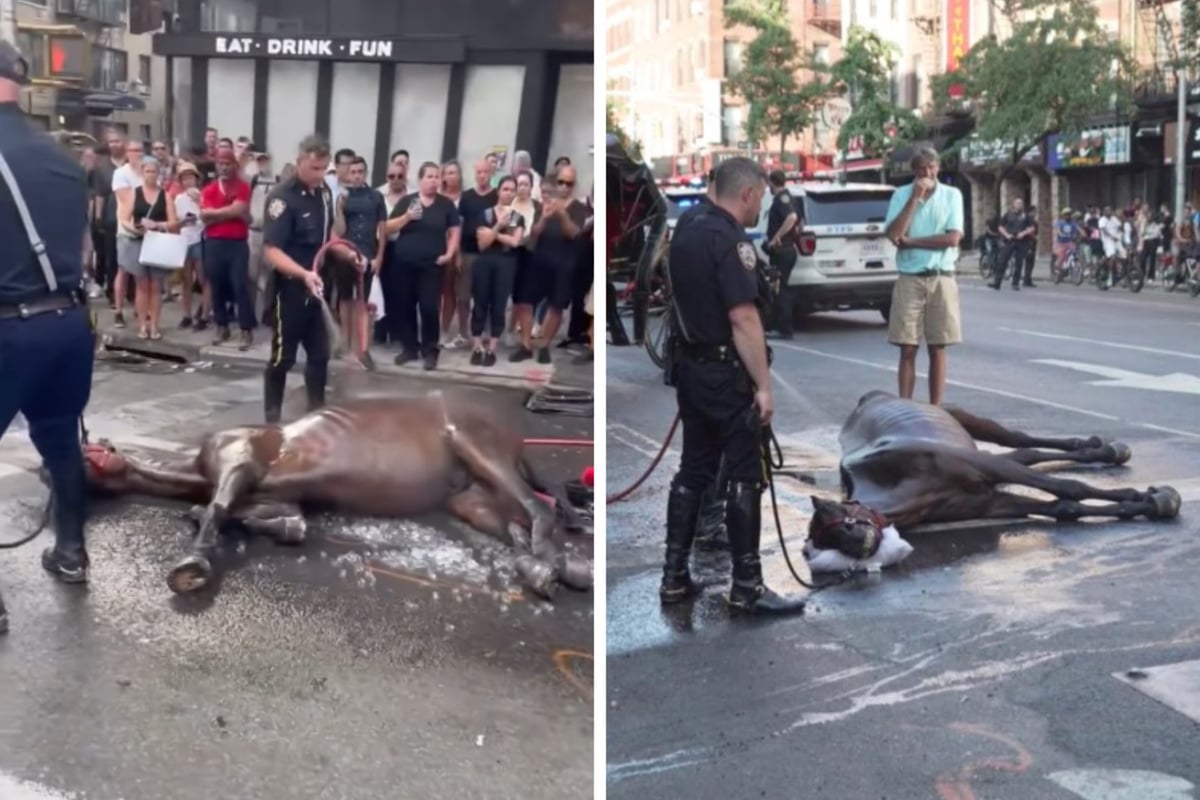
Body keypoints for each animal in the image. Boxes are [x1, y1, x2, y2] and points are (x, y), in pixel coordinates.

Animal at [79, 391, 595, 604]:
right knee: (515, 524)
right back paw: (548, 570)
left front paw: (192, 565)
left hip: (476, 444)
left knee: (537, 510)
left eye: (90, 451)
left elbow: (217, 509)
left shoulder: (239, 458)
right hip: (468, 496)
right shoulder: (273, 495)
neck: (194, 467)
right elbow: (277, 519)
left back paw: (557, 565)